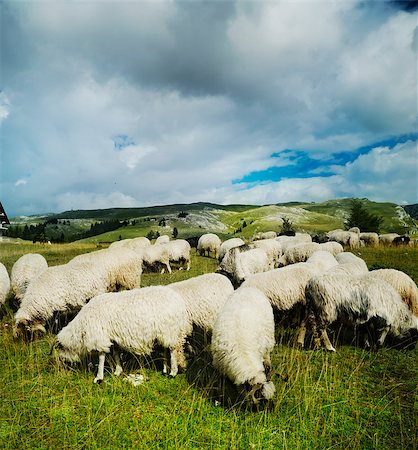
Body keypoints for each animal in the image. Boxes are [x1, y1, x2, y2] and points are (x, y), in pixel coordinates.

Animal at [56, 284, 189, 384]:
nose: (64, 367)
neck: (81, 327)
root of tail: (178, 301)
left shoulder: (100, 337)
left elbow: (101, 357)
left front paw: (99, 377)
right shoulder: (113, 338)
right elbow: (115, 354)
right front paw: (118, 371)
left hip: (170, 329)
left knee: (172, 350)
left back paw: (173, 372)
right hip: (165, 332)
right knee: (166, 349)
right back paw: (165, 369)